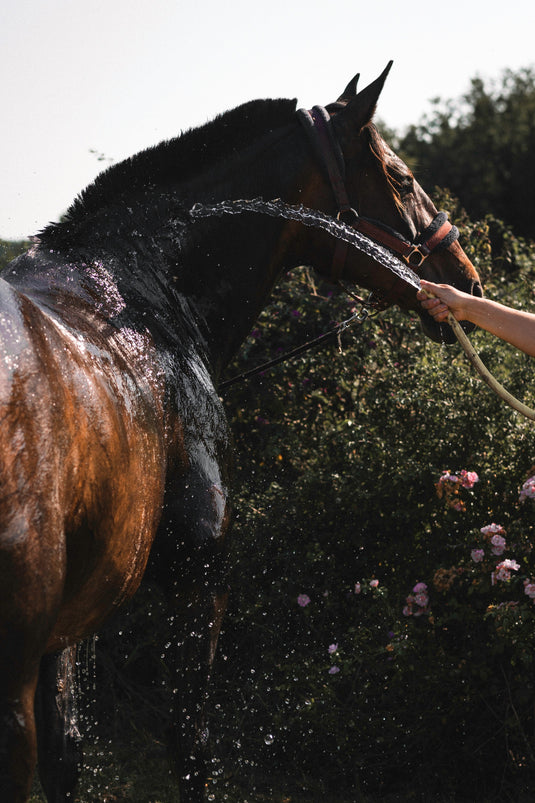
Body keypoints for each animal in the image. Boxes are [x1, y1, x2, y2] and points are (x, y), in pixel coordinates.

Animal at [0, 63, 482, 802]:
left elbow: (68, 754)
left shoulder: (73, 618)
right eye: (401, 178)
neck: (141, 300)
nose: (466, 278)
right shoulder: (199, 572)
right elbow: (190, 744)